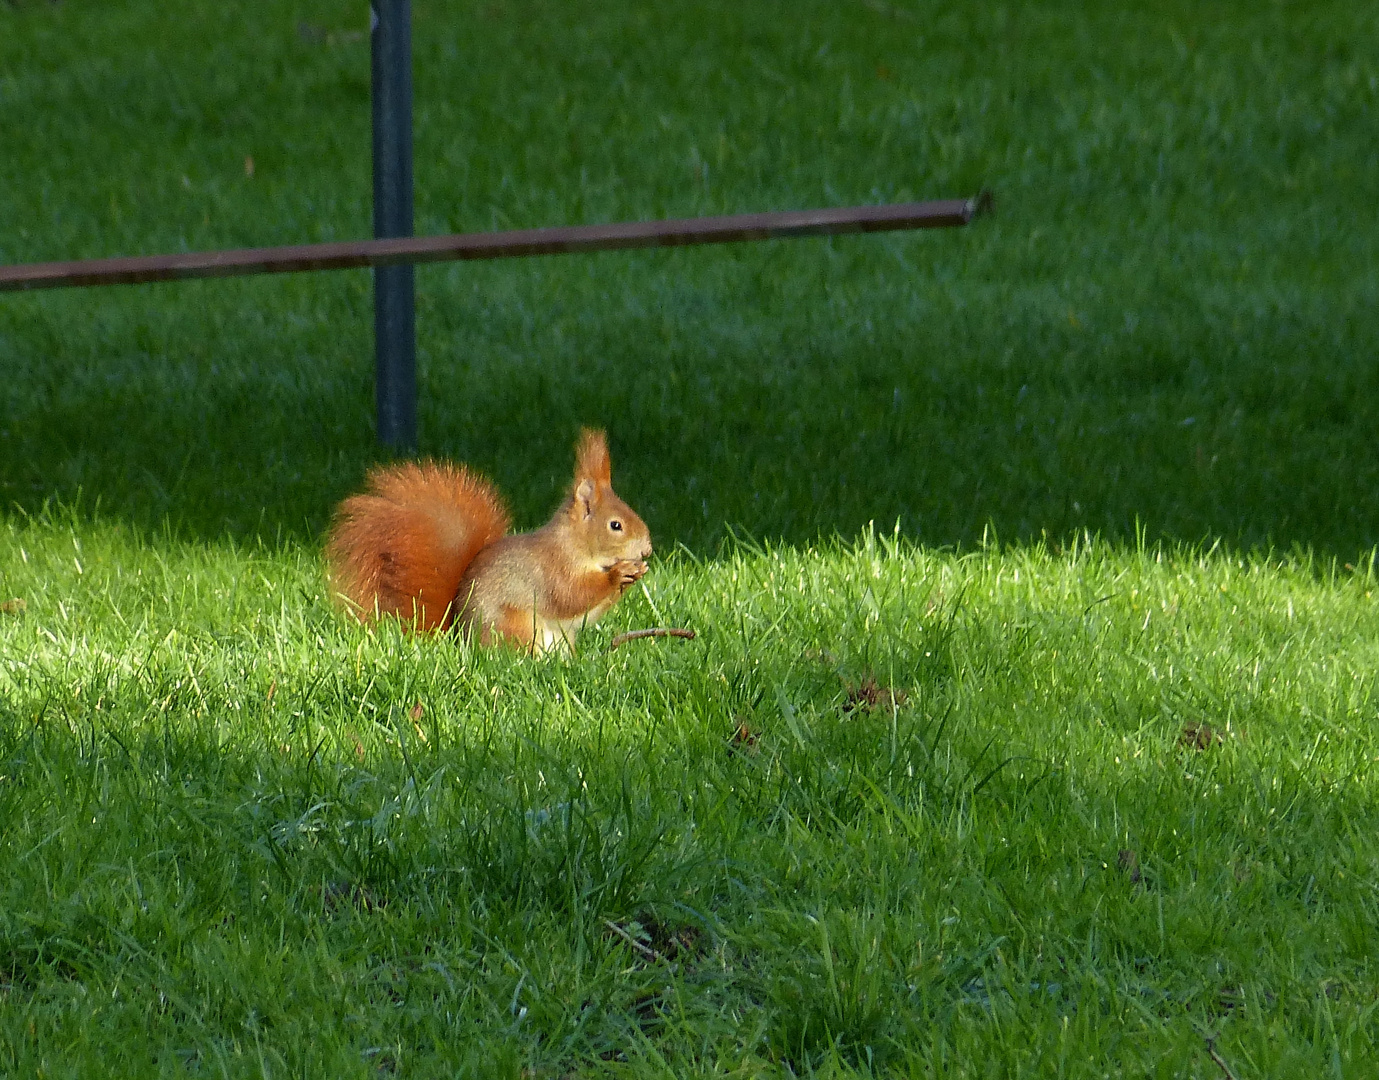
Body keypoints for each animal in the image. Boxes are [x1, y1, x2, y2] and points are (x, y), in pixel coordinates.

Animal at [322, 427, 650, 651]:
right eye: (616, 525)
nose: (647, 550)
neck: (576, 545)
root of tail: (460, 638)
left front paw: (633, 574)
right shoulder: (553, 570)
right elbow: (571, 596)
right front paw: (619, 574)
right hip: (515, 626)